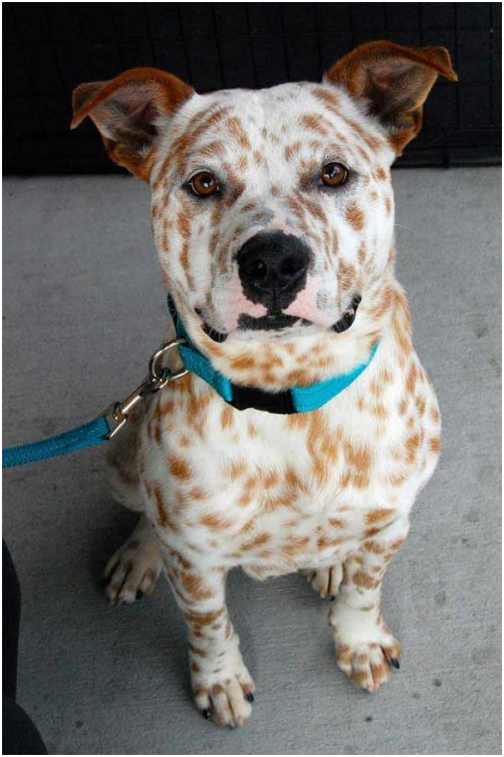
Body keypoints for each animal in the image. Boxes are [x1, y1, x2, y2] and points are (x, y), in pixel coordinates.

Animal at [71, 41, 456, 728]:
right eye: (203, 182)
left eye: (333, 173)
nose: (273, 260)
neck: (291, 396)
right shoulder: (196, 559)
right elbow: (208, 624)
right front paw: (219, 679)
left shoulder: (391, 521)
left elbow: (365, 588)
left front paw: (359, 639)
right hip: (119, 458)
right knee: (144, 512)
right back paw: (139, 556)